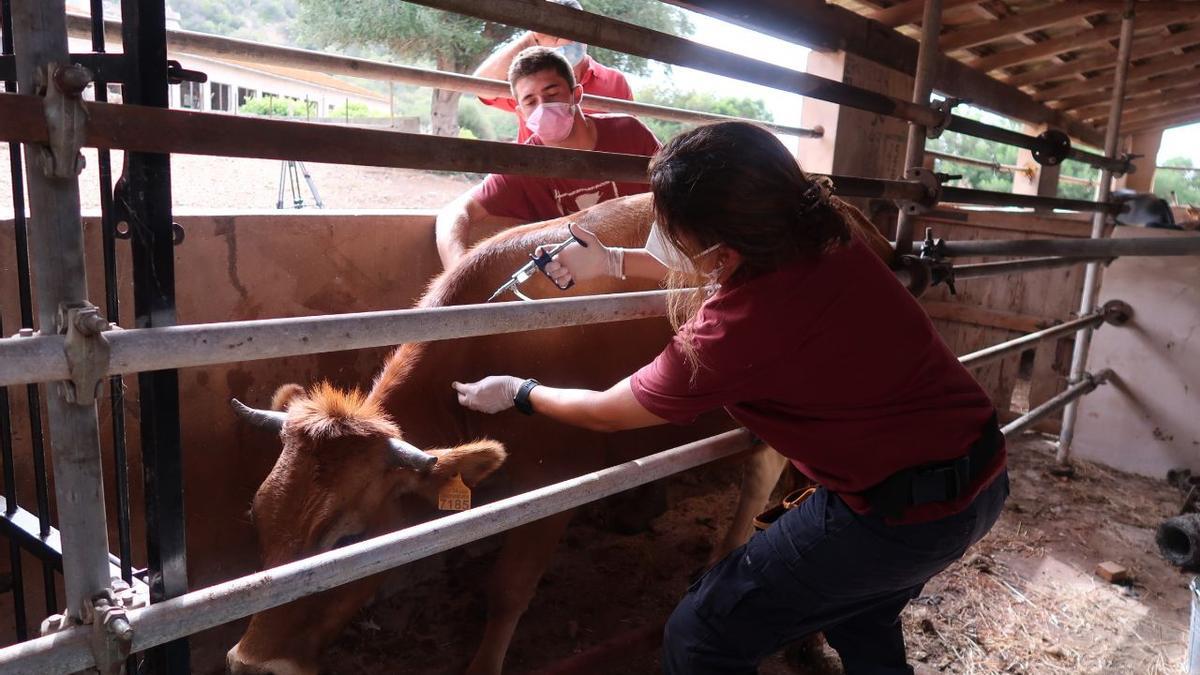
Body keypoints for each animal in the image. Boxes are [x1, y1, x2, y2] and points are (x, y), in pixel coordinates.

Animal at [229, 190, 897, 672]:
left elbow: (508, 590)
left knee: (765, 472)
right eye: (257, 518)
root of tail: (848, 213)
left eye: (344, 540)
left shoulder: (555, 484)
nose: (250, 663)